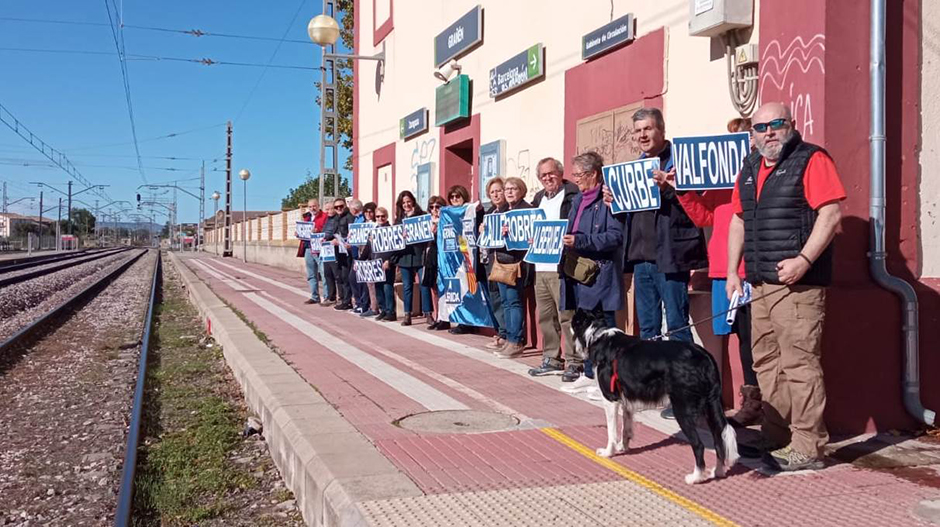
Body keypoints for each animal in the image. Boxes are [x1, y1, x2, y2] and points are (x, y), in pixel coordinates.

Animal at [568, 310, 740, 486]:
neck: (596, 334)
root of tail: (704, 356)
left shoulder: (610, 399)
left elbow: (612, 431)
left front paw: (609, 452)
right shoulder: (626, 401)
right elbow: (625, 428)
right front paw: (623, 447)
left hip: (682, 408)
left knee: (698, 445)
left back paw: (695, 477)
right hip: (710, 406)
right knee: (719, 440)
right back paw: (718, 471)